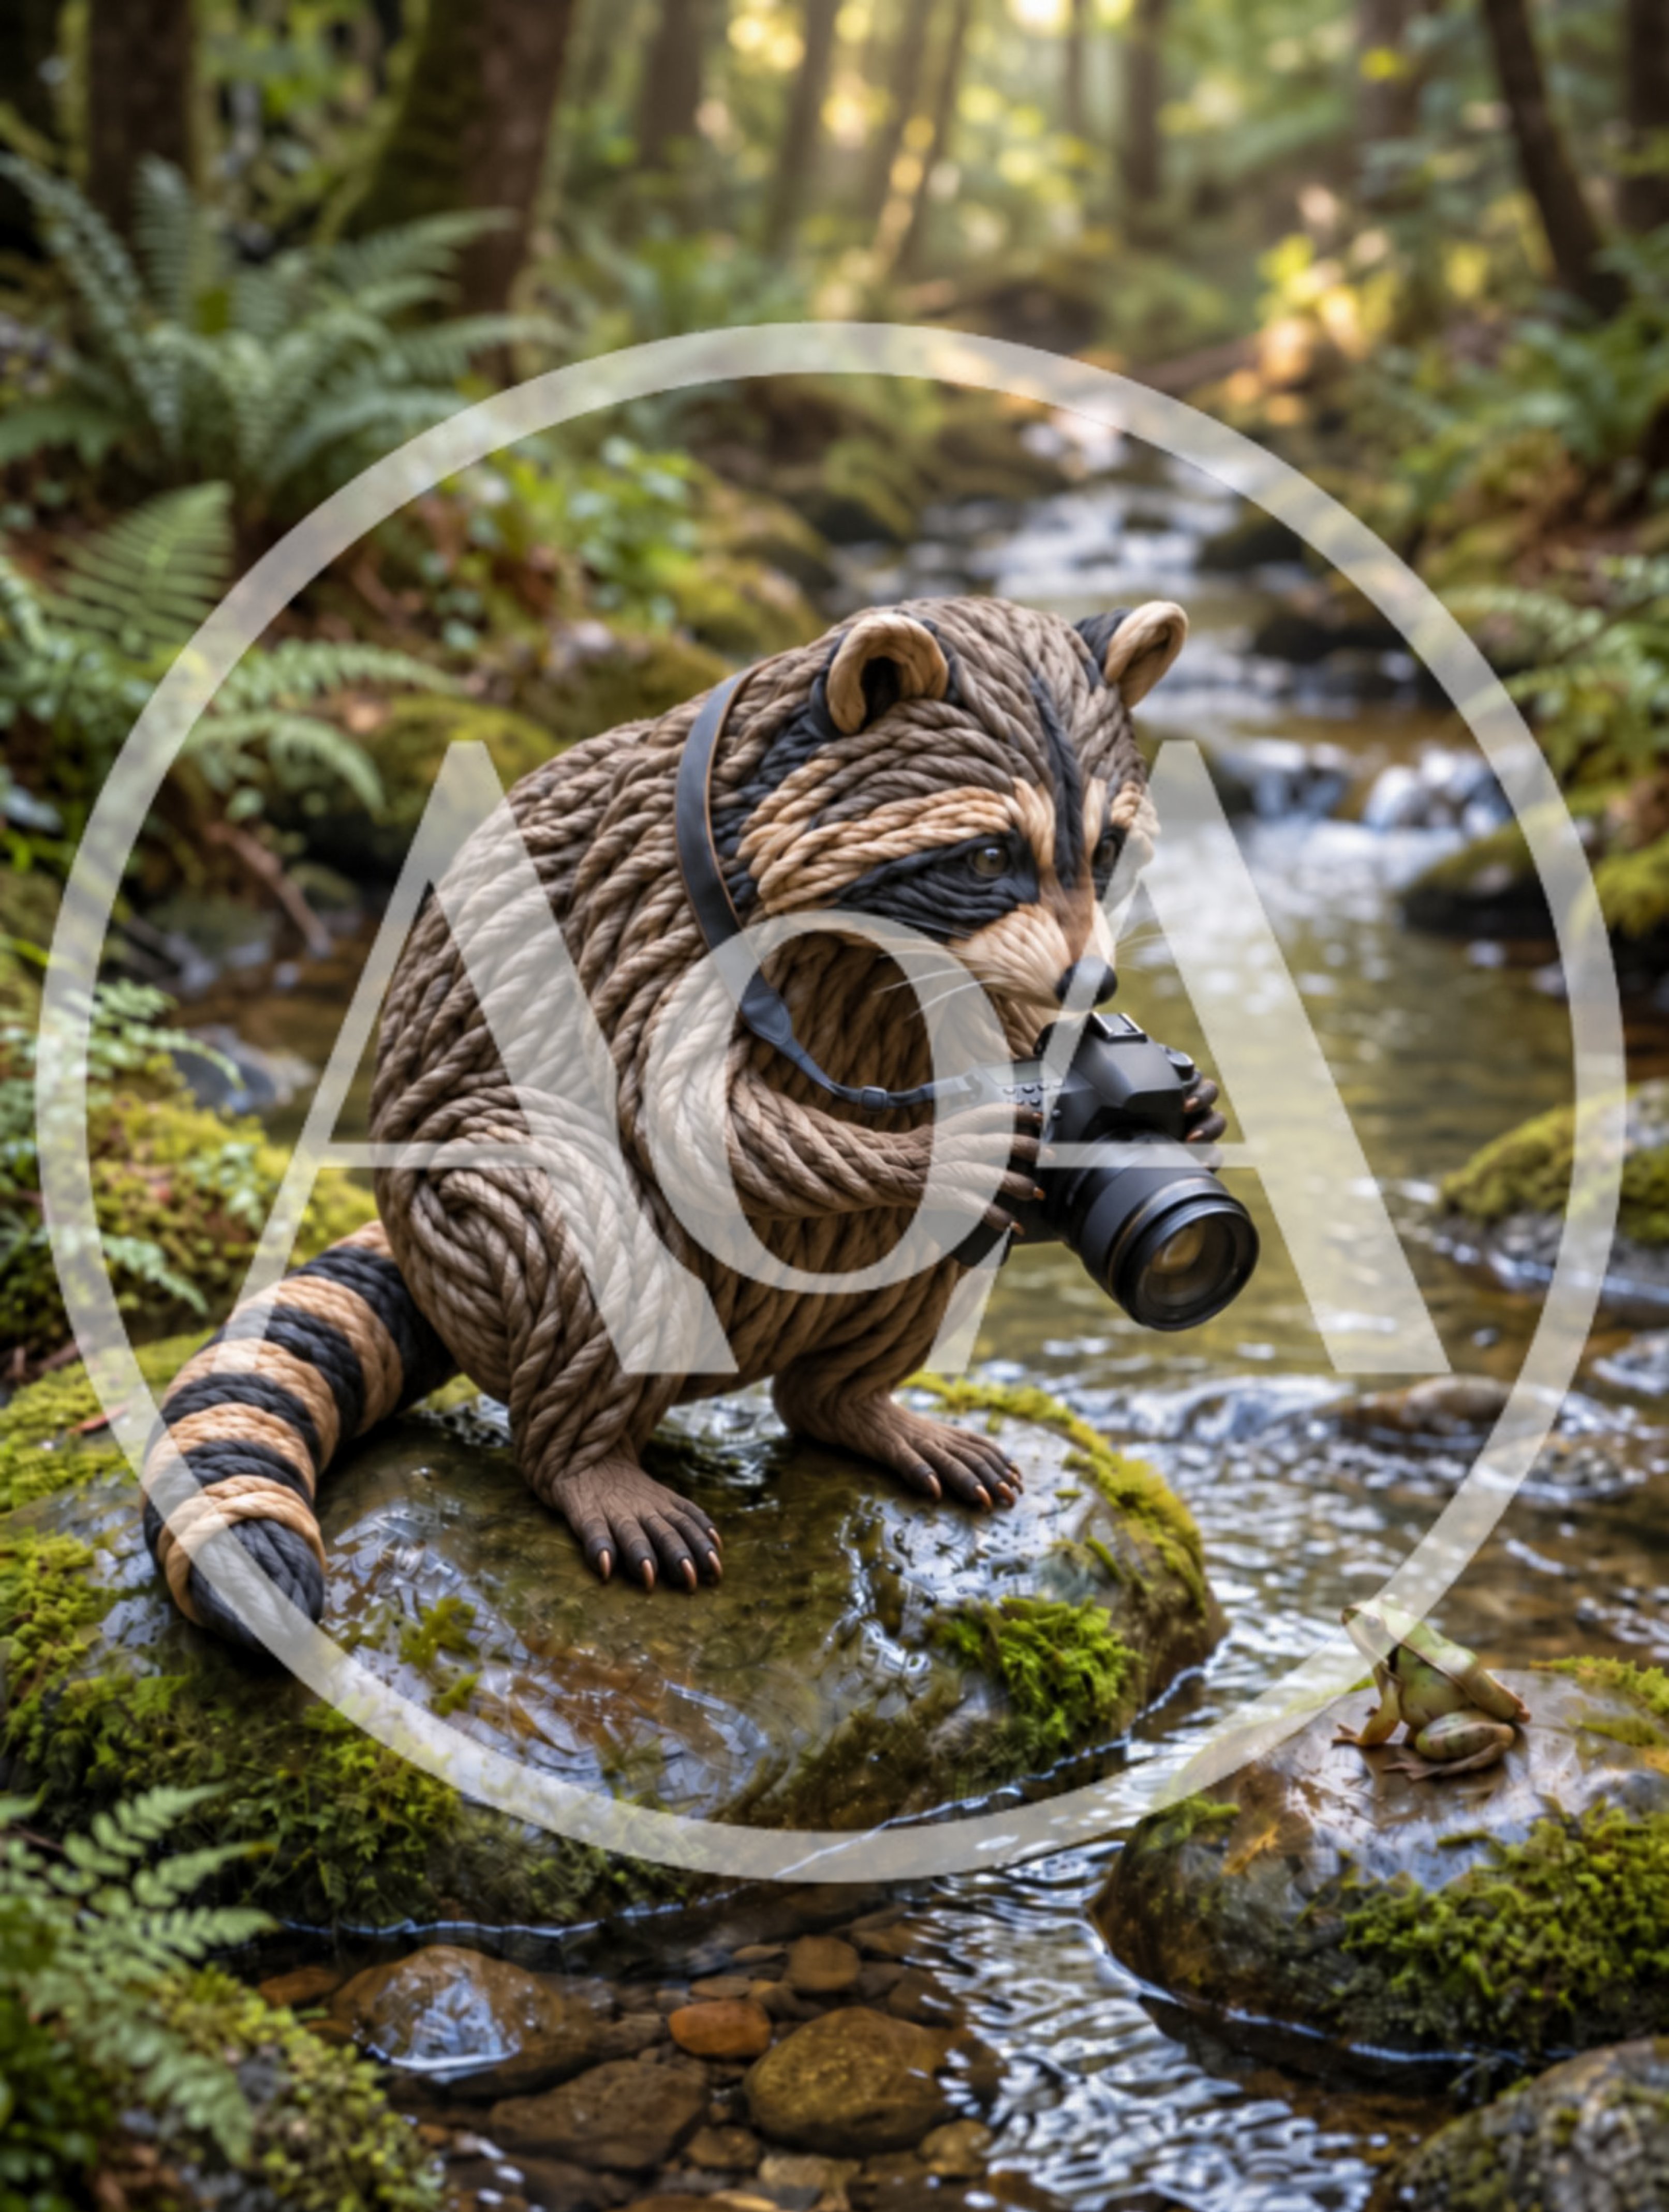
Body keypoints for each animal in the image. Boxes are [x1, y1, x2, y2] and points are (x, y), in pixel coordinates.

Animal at [143, 595, 1215, 1644]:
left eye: (1106, 850)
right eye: (992, 854)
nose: (1093, 981)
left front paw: (1162, 1093)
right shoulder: (651, 913)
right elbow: (684, 1120)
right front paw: (937, 1150)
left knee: (904, 1281)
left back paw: (854, 1402)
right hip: (471, 1219)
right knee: (582, 1228)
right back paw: (586, 1459)